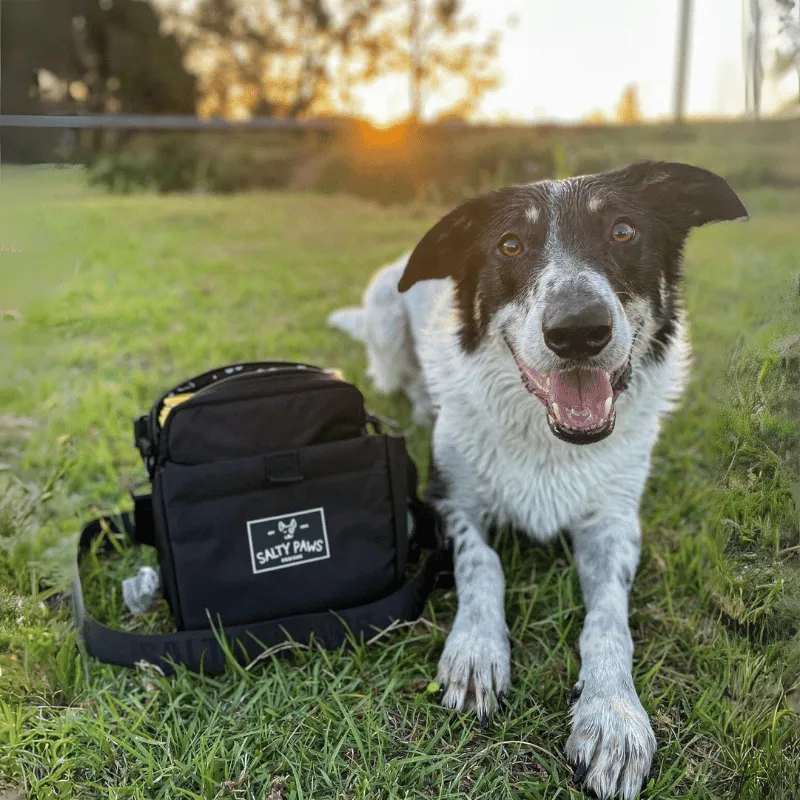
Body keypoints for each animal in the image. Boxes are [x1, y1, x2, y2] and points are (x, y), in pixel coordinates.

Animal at [328, 162, 748, 800]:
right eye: (509, 245)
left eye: (622, 231)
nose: (578, 330)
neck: (552, 439)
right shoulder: (449, 502)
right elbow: (483, 563)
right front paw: (476, 649)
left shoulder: (614, 524)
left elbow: (610, 620)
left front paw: (612, 714)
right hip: (385, 320)